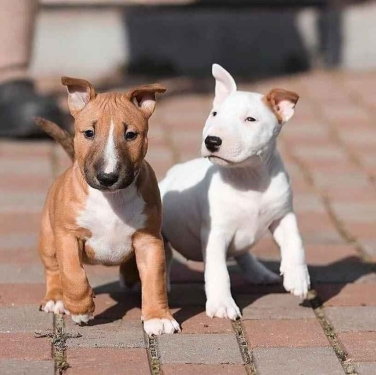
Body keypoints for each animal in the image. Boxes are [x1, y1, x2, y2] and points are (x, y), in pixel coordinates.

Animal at [36, 78, 180, 336]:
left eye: (131, 134)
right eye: (89, 133)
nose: (107, 177)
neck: (111, 198)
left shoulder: (149, 239)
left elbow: (154, 279)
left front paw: (158, 318)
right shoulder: (68, 235)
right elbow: (72, 273)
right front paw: (81, 309)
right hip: (48, 238)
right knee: (53, 268)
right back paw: (56, 298)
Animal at [160, 64, 310, 320]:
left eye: (250, 119)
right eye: (214, 114)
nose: (211, 141)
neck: (249, 180)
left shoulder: (284, 215)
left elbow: (295, 242)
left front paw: (298, 278)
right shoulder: (215, 233)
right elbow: (218, 271)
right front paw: (222, 304)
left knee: (242, 253)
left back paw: (260, 273)